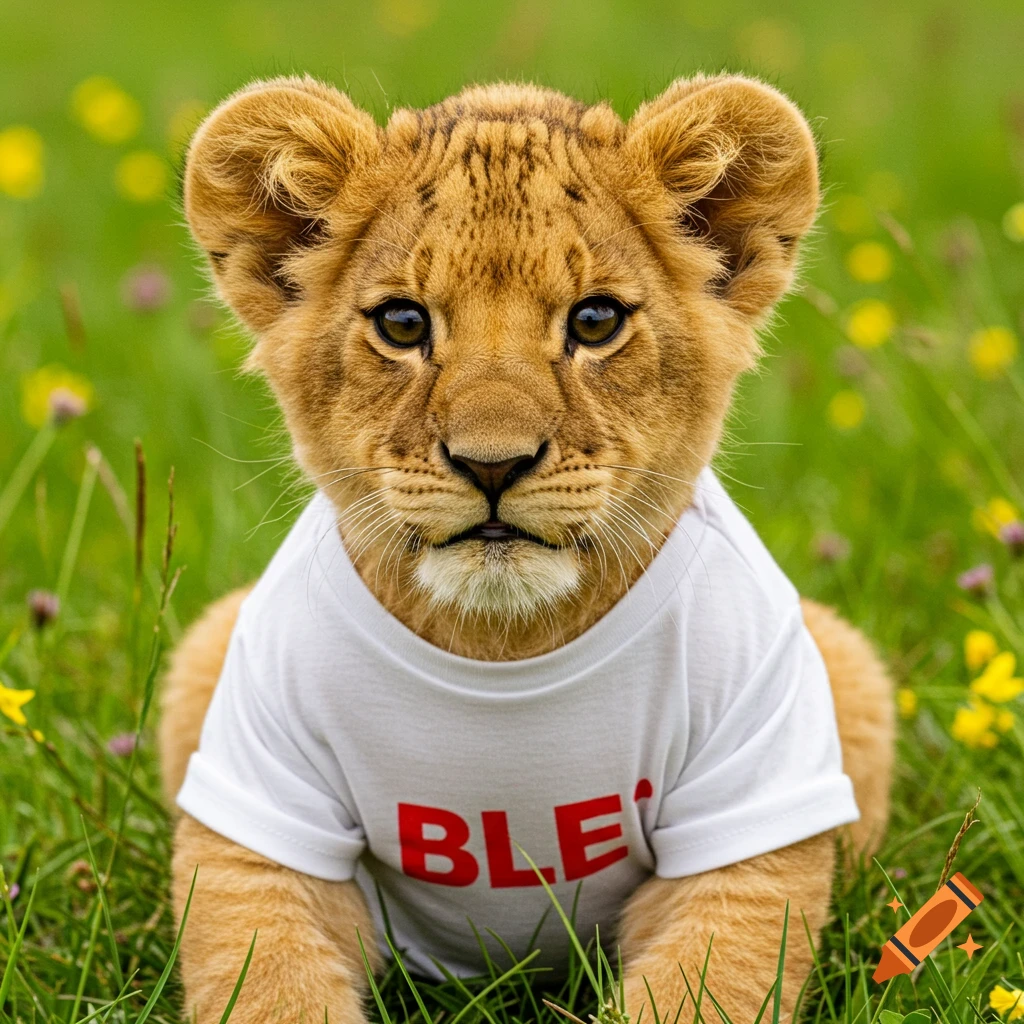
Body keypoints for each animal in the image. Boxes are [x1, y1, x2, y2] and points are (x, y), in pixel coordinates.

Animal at [159, 73, 894, 1024]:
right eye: (403, 323)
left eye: (596, 320)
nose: (492, 463)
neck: (503, 644)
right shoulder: (256, 823)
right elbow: (269, 986)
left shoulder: (750, 824)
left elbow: (700, 986)